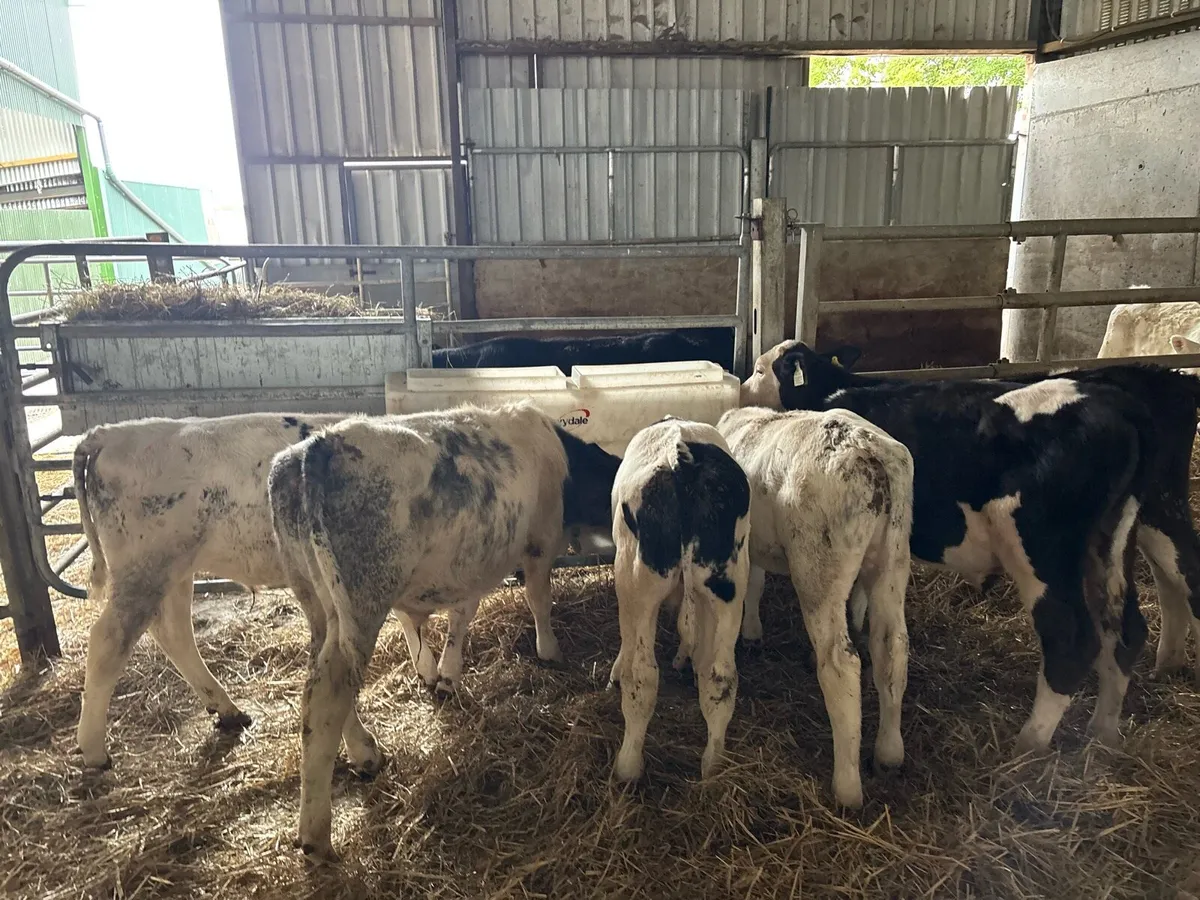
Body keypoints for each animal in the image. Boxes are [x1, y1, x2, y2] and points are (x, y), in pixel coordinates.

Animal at [73, 412, 349, 770]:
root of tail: (112, 432)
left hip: (175, 570)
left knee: (173, 632)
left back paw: (228, 710)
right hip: (144, 569)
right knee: (109, 641)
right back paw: (94, 750)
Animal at [267, 402, 621, 860]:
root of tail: (315, 450)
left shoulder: (467, 567)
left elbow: (460, 615)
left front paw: (444, 674)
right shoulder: (540, 541)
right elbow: (538, 598)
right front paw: (549, 649)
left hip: (318, 604)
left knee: (322, 679)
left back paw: (365, 753)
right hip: (362, 603)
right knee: (328, 694)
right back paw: (317, 833)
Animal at [607, 417, 751, 784]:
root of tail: (684, 458)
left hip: (638, 578)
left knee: (642, 676)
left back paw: (627, 767)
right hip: (729, 585)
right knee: (721, 677)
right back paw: (713, 766)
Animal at [718, 406, 913, 808]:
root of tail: (870, 453)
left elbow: (752, 585)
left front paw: (751, 632)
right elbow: (756, 584)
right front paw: (753, 635)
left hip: (817, 563)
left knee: (840, 664)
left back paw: (847, 787)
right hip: (893, 556)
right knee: (892, 648)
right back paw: (888, 754)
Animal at [741, 340, 1153, 758]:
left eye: (759, 369)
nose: (743, 388)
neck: (829, 391)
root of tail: (1118, 407)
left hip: (1042, 550)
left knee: (1069, 639)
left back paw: (1029, 744)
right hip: (1112, 540)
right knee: (1126, 628)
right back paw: (1104, 731)